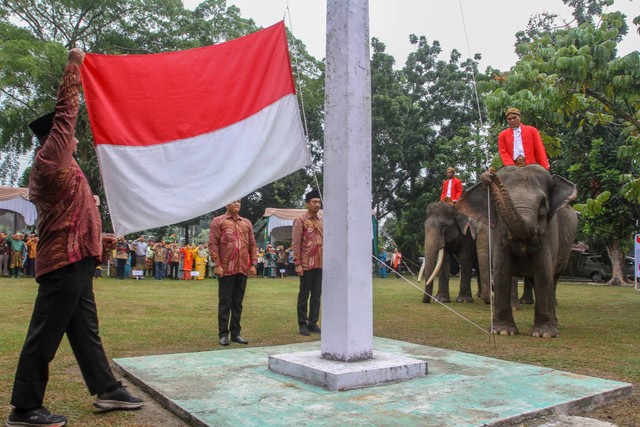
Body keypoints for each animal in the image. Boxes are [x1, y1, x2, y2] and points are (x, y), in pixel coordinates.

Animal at [456, 166, 580, 340]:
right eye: (496, 204)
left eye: (543, 205)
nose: (490, 174)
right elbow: (502, 270)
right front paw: (502, 331)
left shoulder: (550, 231)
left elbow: (543, 270)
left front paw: (543, 334)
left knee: (553, 279)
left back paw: (555, 325)